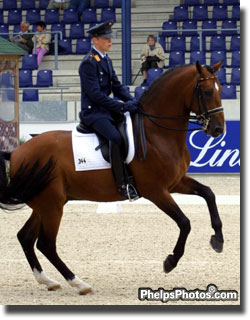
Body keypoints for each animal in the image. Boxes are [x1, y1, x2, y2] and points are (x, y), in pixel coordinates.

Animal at [0, 60, 226, 296]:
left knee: (26, 237)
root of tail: (16, 152)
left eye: (221, 90)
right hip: (51, 205)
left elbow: (208, 193)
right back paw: (79, 283)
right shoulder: (156, 191)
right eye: (207, 92)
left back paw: (47, 280)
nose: (218, 129)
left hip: (45, 204)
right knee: (45, 244)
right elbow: (185, 222)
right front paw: (170, 261)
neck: (156, 133)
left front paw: (218, 240)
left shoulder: (176, 182)